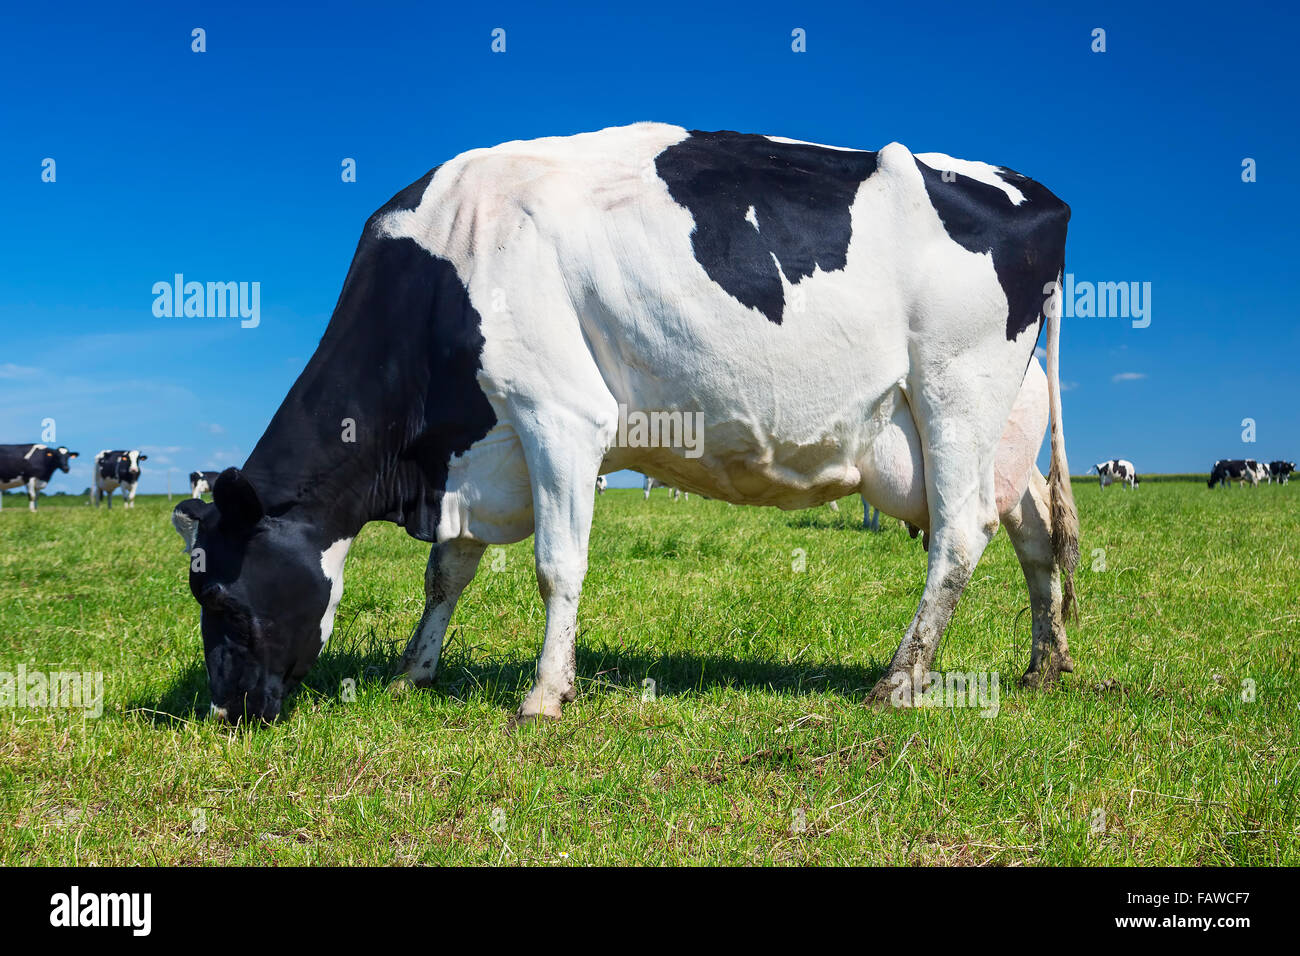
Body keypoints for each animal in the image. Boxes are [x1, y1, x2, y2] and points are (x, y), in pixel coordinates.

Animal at [170, 123, 1077, 724]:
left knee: (959, 535)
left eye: (217, 594)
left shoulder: (558, 414)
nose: (224, 712)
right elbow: (445, 574)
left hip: (956, 392)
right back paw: (1047, 663)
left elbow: (555, 566)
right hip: (1000, 424)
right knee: (1036, 529)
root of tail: (1033, 191)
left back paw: (899, 681)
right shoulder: (479, 450)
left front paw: (544, 694)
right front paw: (412, 673)